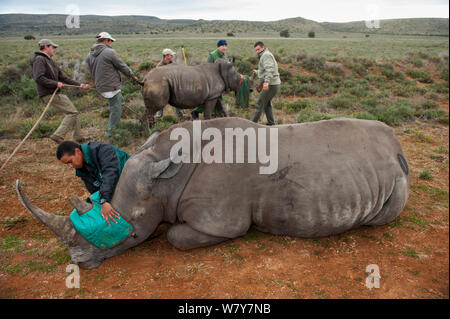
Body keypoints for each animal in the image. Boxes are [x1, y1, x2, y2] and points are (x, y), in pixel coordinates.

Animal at [15, 117, 410, 268]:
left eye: (125, 230)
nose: (78, 263)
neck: (164, 178)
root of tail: (397, 145)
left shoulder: (219, 222)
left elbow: (175, 236)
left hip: (394, 177)